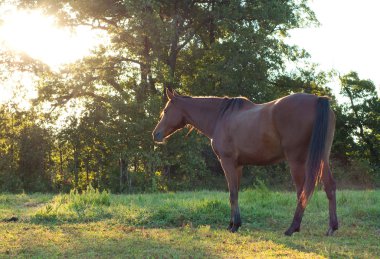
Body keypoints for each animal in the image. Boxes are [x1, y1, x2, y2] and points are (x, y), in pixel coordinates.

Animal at [153, 89, 336, 238]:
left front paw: (234, 226)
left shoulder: (227, 162)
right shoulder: (238, 165)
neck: (220, 117)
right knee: (329, 187)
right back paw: (332, 228)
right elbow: (235, 193)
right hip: (322, 158)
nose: (156, 134)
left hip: (296, 161)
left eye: (165, 111)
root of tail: (317, 99)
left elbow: (232, 193)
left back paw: (292, 228)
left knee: (302, 192)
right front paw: (233, 223)